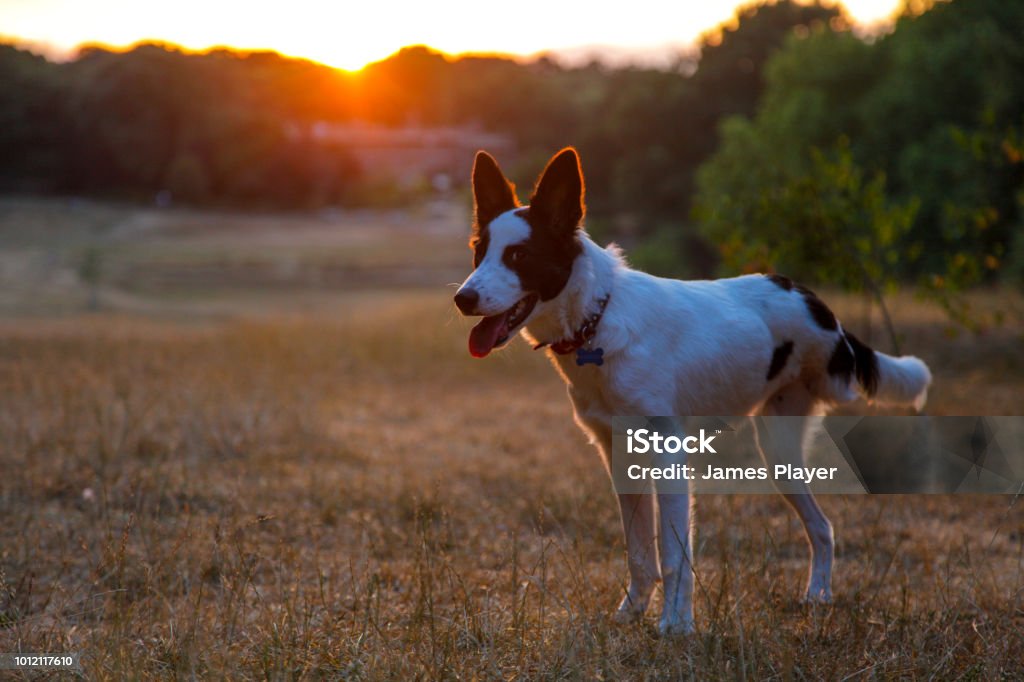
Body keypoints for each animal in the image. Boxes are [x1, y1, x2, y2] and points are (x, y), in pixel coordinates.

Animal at [452, 147, 933, 630]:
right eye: (479, 252)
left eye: (519, 255)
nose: (462, 299)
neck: (597, 320)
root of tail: (814, 301)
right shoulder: (618, 455)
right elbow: (639, 553)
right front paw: (632, 612)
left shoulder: (668, 452)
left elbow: (673, 554)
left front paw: (676, 626)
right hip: (778, 450)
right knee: (821, 526)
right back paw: (817, 596)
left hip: (799, 424)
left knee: (822, 524)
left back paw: (818, 595)